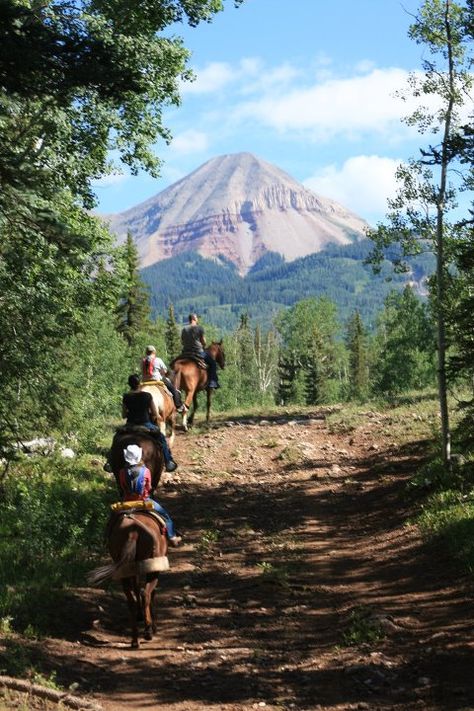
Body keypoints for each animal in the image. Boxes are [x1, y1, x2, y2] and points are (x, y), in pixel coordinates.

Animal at [88, 508, 169, 648]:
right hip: (152, 566)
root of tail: (133, 532)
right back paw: (148, 632)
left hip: (124, 568)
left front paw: (140, 615)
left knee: (131, 600)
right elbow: (150, 592)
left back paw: (135, 640)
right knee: (146, 593)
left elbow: (136, 587)